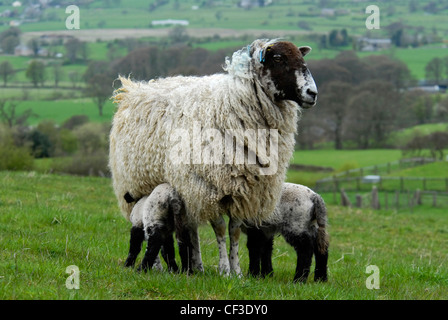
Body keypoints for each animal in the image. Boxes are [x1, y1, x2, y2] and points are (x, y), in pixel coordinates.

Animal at [109, 38, 318, 276]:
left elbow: (234, 230)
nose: (312, 93)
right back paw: (159, 266)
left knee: (189, 227)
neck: (232, 104)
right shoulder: (211, 188)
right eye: (278, 58)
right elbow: (219, 228)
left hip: (185, 189)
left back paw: (196, 265)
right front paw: (224, 269)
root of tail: (132, 89)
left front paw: (236, 271)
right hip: (144, 183)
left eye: (301, 58)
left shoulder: (243, 189)